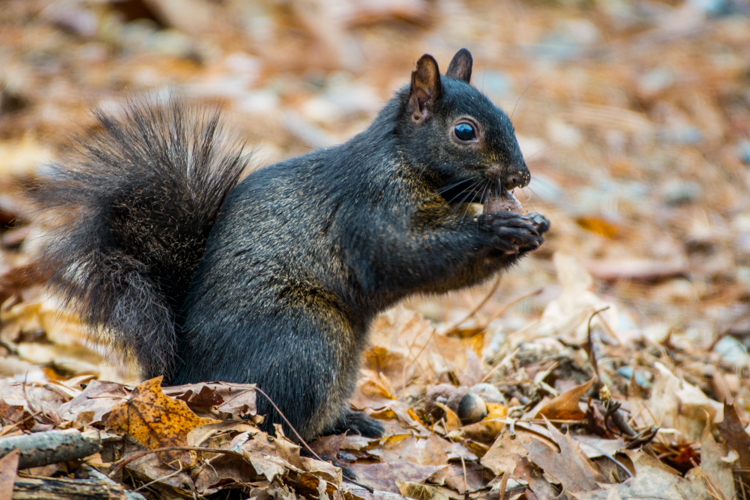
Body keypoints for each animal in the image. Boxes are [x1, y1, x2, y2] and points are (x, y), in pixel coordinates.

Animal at [35, 49, 548, 442]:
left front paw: (534, 227)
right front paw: (496, 229)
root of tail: (181, 378)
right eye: (464, 131)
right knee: (276, 420)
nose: (522, 177)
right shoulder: (371, 209)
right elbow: (409, 256)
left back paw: (351, 421)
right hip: (305, 340)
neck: (402, 160)